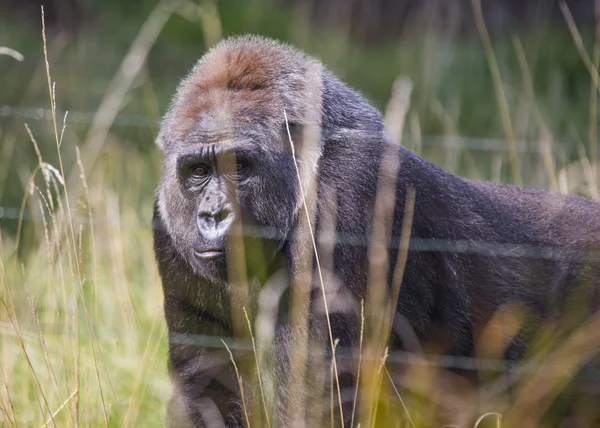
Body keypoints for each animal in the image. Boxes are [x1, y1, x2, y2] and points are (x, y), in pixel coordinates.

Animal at [152, 35, 600, 426]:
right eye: (198, 171)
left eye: (239, 166)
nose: (213, 214)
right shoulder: (167, 220)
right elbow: (209, 384)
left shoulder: (348, 190)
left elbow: (332, 391)